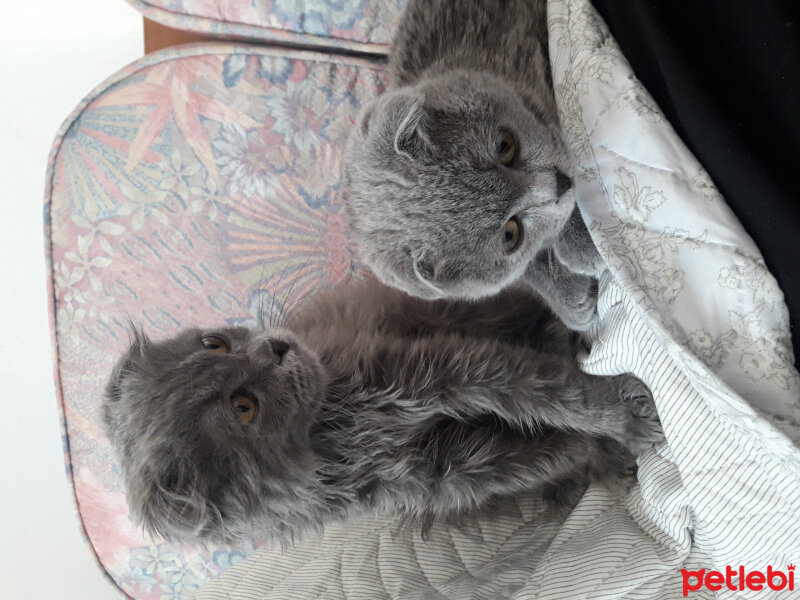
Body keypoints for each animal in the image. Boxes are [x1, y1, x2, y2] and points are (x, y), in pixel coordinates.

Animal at [101, 280, 664, 544]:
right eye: (244, 409)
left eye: (214, 344)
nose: (277, 348)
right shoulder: (446, 470)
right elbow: (553, 446)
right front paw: (604, 444)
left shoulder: (444, 369)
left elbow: (551, 392)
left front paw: (623, 418)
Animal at [340, 0, 604, 332]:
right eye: (510, 234)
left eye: (505, 146)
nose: (561, 183)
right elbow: (524, 267)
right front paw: (570, 298)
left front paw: (584, 241)